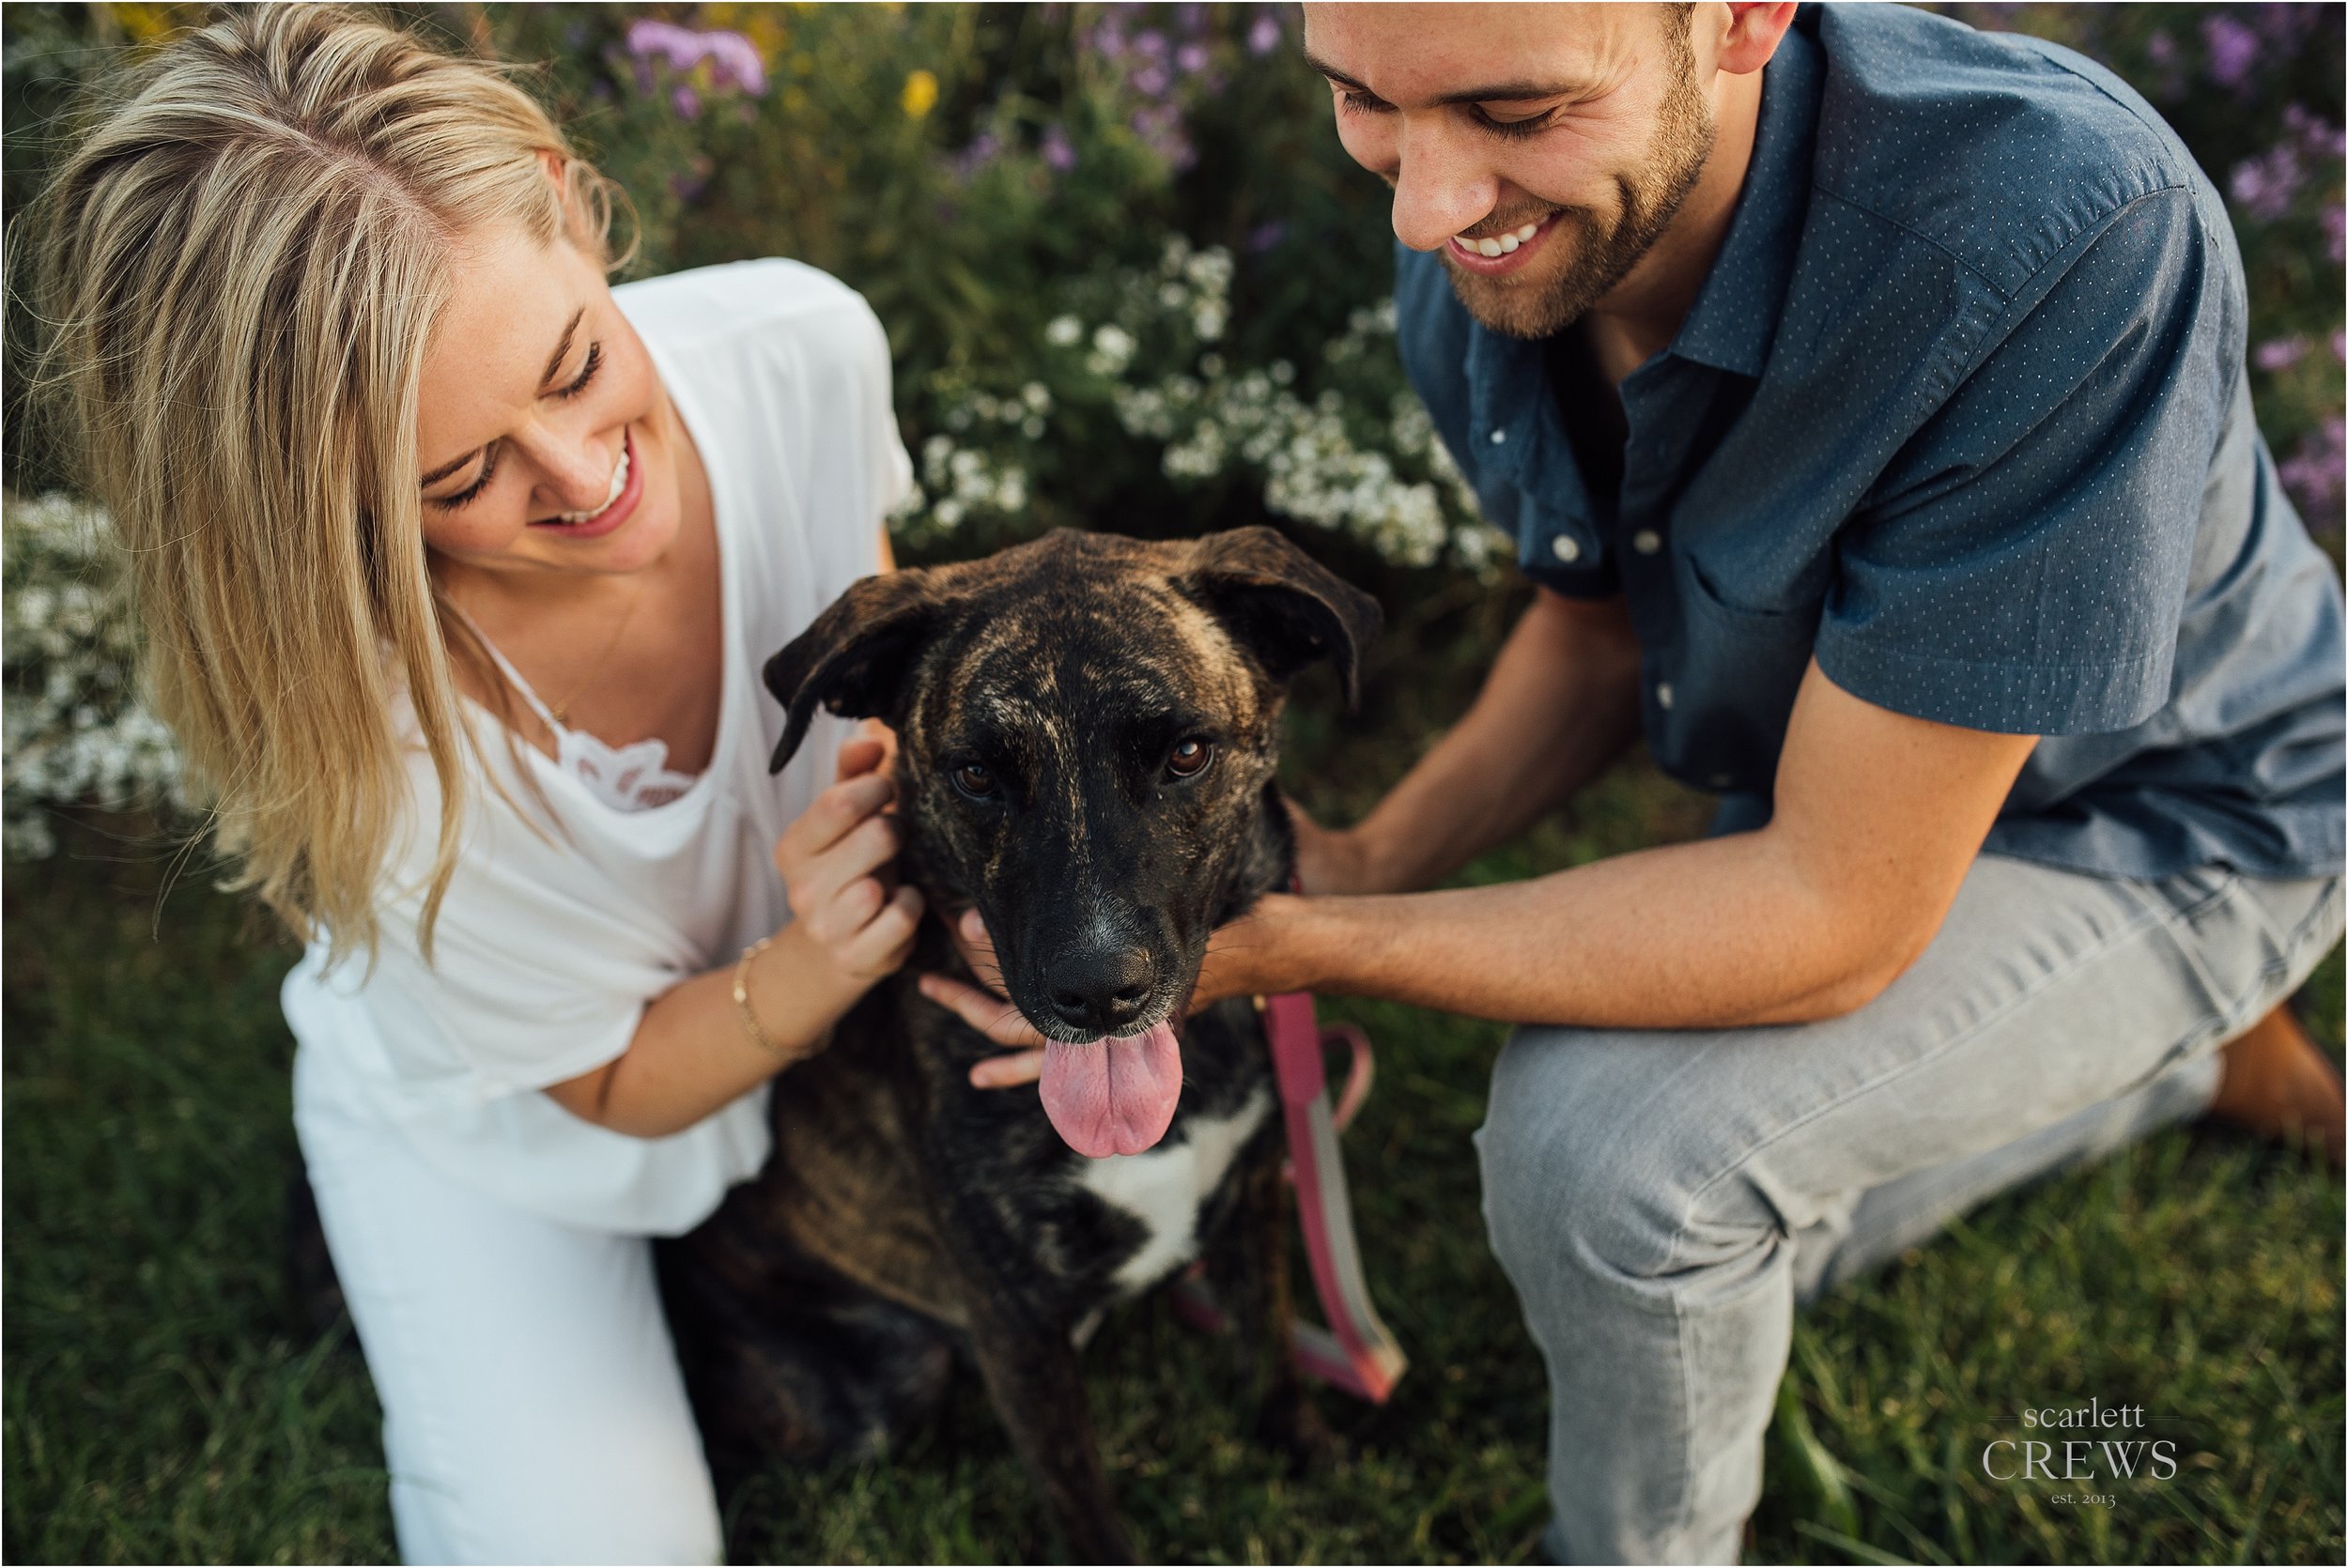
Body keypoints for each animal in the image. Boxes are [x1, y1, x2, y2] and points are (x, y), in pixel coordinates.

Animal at [657, 523, 1371, 1559]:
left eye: (1187, 753)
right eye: (976, 775)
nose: (1099, 992)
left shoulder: (1254, 1194)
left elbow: (1267, 1342)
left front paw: (1304, 1449)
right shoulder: (1010, 1312)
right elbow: (1076, 1489)